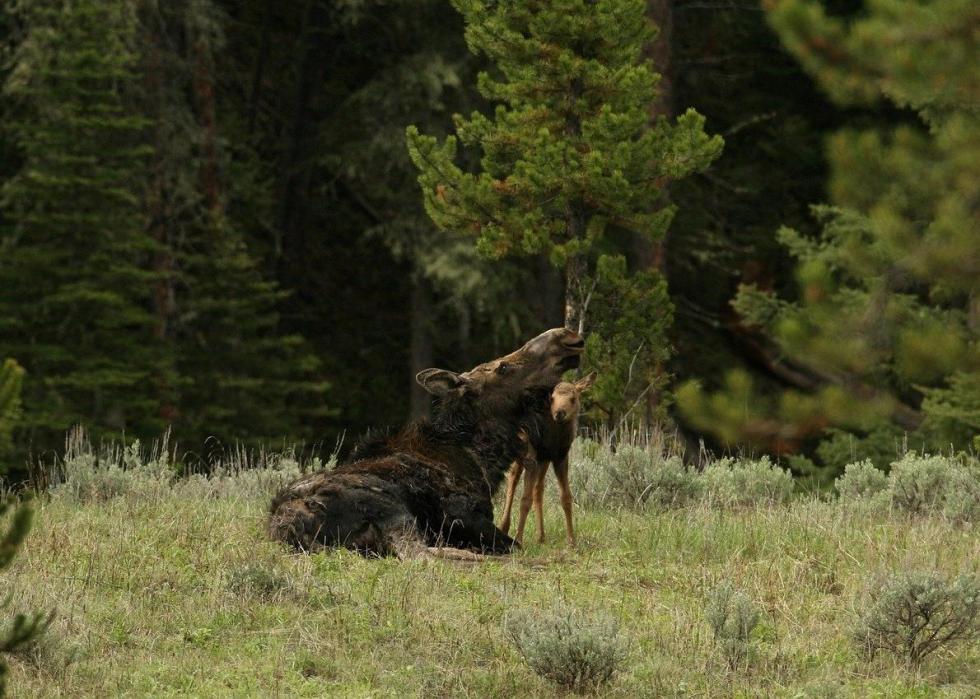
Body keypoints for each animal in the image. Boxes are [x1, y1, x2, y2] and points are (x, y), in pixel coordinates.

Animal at [502, 372, 592, 548]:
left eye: (573, 398)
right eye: (552, 398)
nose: (559, 413)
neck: (555, 438)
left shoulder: (560, 458)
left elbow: (566, 498)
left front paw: (572, 541)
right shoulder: (532, 459)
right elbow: (525, 500)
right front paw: (518, 540)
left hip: (543, 461)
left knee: (538, 490)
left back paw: (541, 536)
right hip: (521, 457)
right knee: (512, 483)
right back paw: (504, 527)